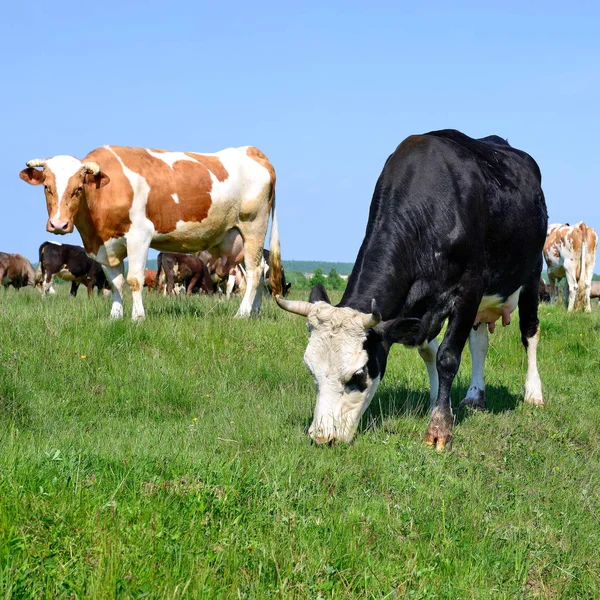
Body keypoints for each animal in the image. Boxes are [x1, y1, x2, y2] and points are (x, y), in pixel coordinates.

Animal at [18, 145, 282, 322]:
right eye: (46, 187)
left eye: (78, 189)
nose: (59, 225)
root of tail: (252, 151)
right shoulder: (106, 244)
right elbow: (116, 282)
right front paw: (115, 315)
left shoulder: (139, 236)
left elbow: (134, 280)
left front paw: (138, 317)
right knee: (257, 272)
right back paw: (255, 312)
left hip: (253, 226)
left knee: (254, 272)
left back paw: (242, 313)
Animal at [278, 130, 548, 450]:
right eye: (311, 370)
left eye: (358, 374)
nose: (322, 437)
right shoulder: (419, 310)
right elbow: (429, 352)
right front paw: (438, 403)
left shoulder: (469, 288)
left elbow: (447, 357)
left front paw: (439, 427)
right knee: (479, 342)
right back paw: (474, 395)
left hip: (532, 273)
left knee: (530, 332)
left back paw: (534, 393)